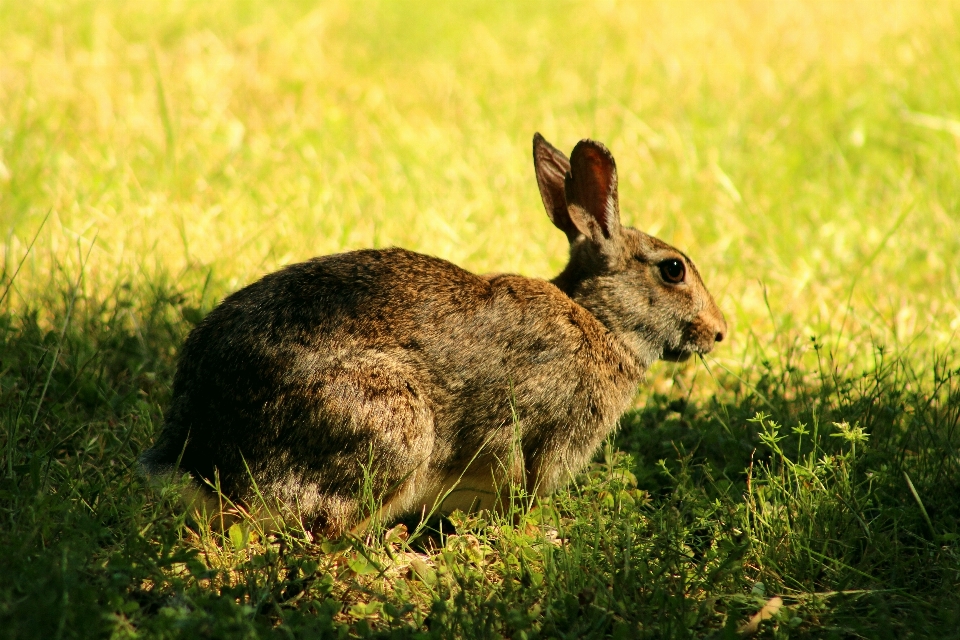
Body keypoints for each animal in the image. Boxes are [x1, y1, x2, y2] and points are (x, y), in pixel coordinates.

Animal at [139, 134, 724, 536]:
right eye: (673, 269)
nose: (718, 333)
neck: (599, 322)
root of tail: (196, 453)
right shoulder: (540, 434)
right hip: (390, 422)